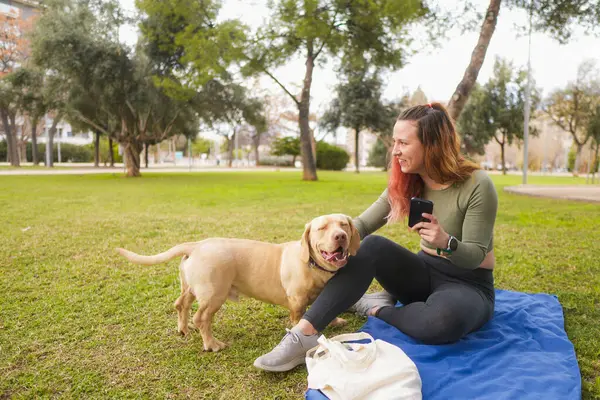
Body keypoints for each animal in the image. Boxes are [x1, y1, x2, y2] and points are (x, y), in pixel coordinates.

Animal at [117, 214, 360, 352]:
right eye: (322, 228)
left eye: (344, 224)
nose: (340, 236)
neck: (313, 264)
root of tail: (196, 245)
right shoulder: (297, 301)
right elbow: (299, 318)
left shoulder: (325, 294)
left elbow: (327, 307)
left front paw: (335, 320)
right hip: (214, 295)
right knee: (201, 318)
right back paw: (211, 344)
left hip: (193, 288)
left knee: (181, 304)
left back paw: (183, 328)